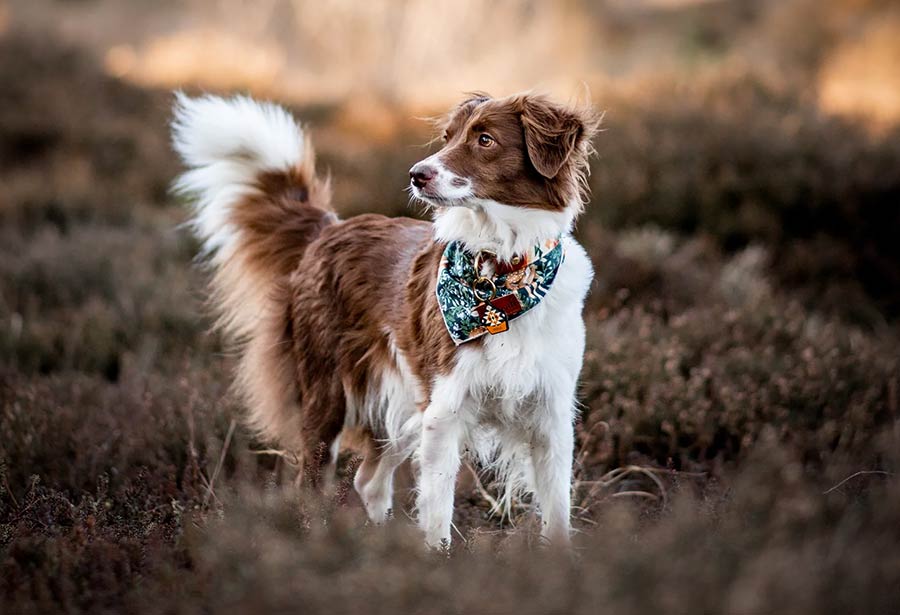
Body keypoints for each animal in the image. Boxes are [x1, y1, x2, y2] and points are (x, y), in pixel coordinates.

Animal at [173, 89, 600, 548]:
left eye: (485, 140)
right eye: (447, 137)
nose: (417, 175)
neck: (503, 273)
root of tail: (329, 230)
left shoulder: (551, 415)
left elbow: (557, 511)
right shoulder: (444, 411)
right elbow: (438, 512)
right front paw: (436, 558)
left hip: (402, 401)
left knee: (369, 480)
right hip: (329, 395)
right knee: (313, 482)